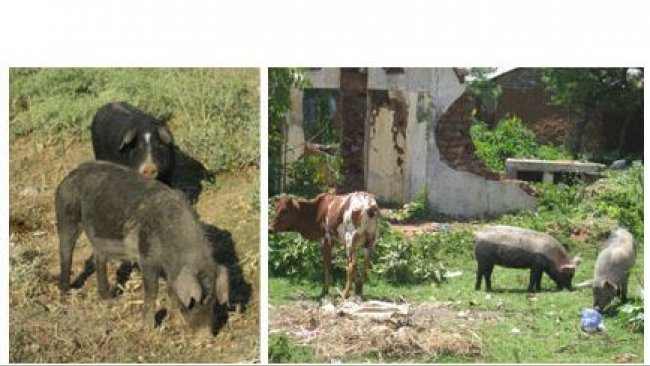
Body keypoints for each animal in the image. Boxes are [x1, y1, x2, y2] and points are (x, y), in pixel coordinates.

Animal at [55, 162, 228, 330]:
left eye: (213, 301)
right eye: (194, 302)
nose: (205, 335)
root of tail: (72, 173)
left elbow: (171, 292)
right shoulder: (146, 257)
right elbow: (152, 290)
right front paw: (147, 328)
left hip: (98, 238)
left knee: (99, 259)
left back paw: (109, 298)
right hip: (65, 215)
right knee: (66, 252)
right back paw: (64, 293)